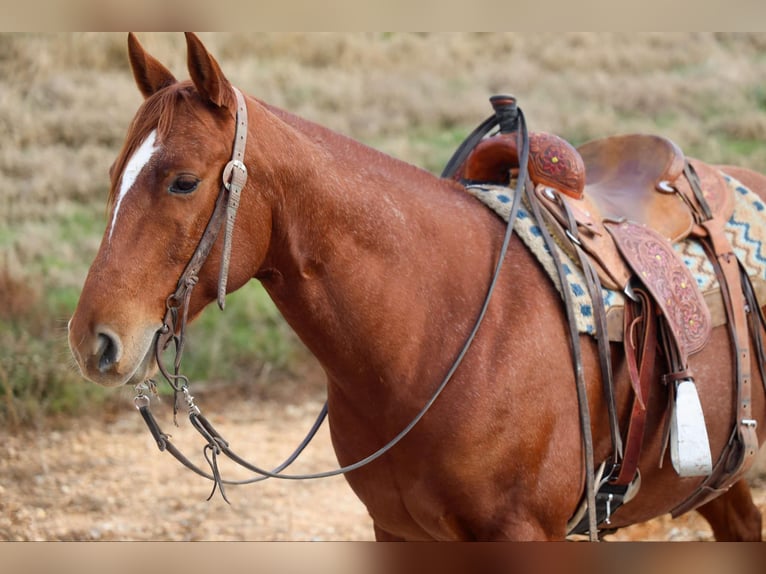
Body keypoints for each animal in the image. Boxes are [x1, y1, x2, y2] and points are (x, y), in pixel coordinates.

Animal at [67, 32, 766, 541]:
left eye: (183, 181)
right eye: (113, 172)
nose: (90, 341)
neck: (431, 341)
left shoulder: (523, 534)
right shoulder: (397, 531)